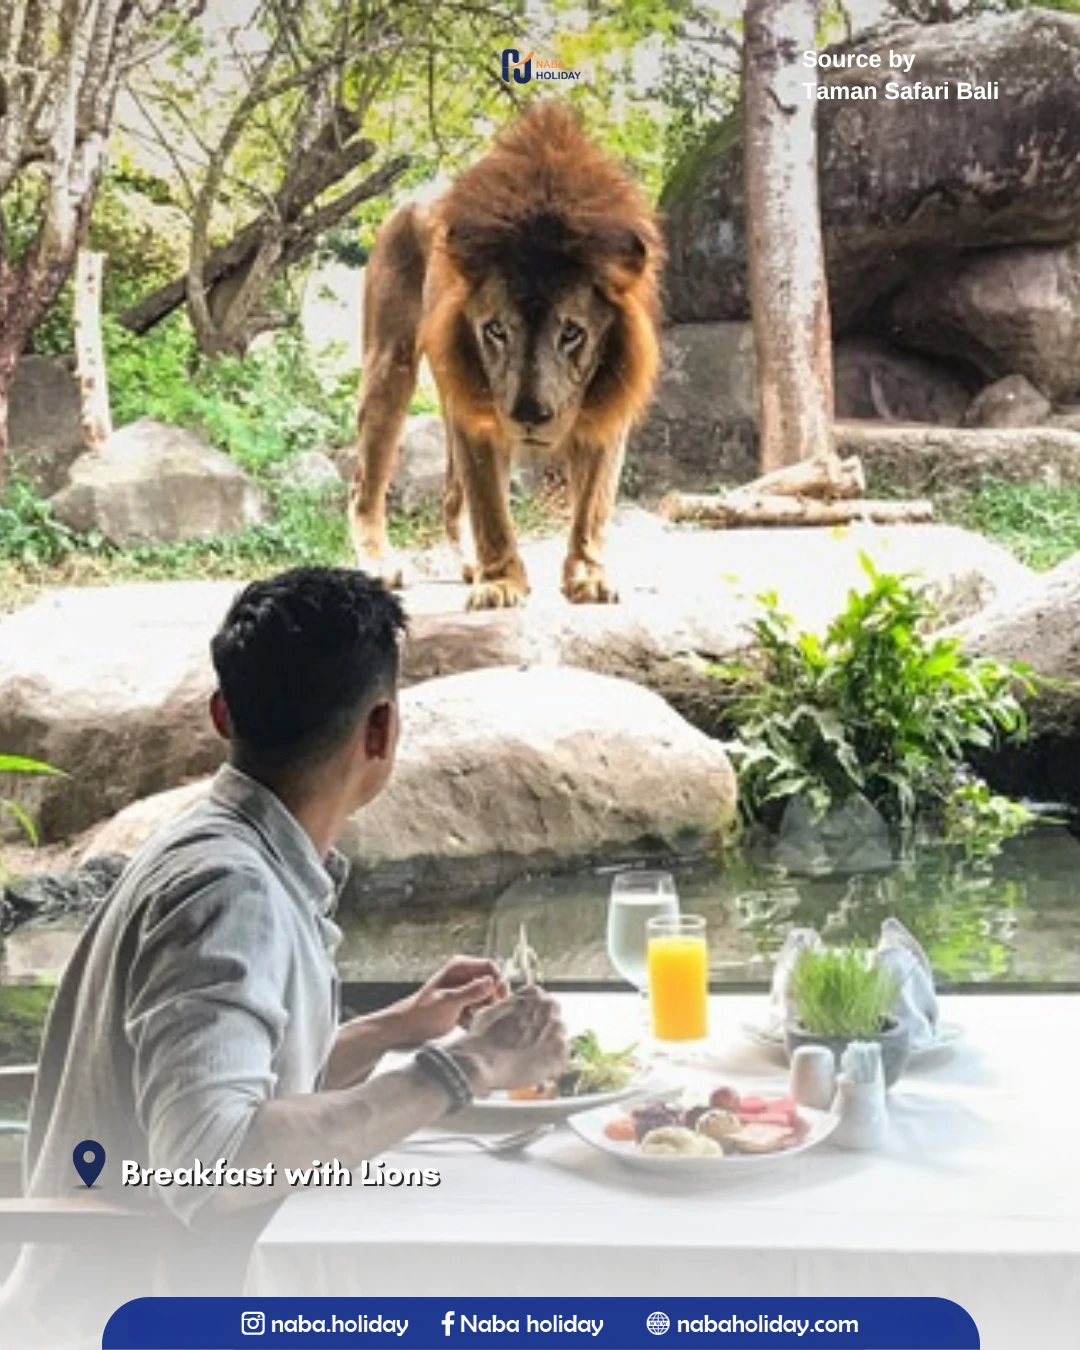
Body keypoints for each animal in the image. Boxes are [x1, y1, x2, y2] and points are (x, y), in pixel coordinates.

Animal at [348, 101, 664, 609]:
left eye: (571, 333)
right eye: (496, 330)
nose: (530, 415)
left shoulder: (611, 404)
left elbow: (594, 504)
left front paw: (588, 576)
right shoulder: (479, 413)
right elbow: (491, 508)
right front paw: (500, 583)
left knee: (451, 494)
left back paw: (467, 562)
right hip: (389, 367)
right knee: (366, 483)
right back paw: (378, 564)